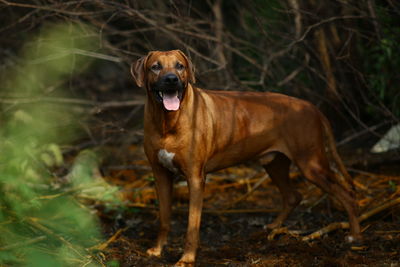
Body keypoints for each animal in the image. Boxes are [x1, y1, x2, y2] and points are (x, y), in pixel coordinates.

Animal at [130, 49, 360, 266]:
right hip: (274, 163)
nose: (171, 80)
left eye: (180, 66)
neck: (166, 122)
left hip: (312, 164)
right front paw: (158, 249)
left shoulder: (195, 178)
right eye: (155, 67)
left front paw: (187, 259)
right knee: (293, 196)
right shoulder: (160, 175)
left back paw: (354, 236)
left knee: (347, 194)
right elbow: (164, 218)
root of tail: (312, 107)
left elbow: (192, 226)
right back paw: (273, 227)